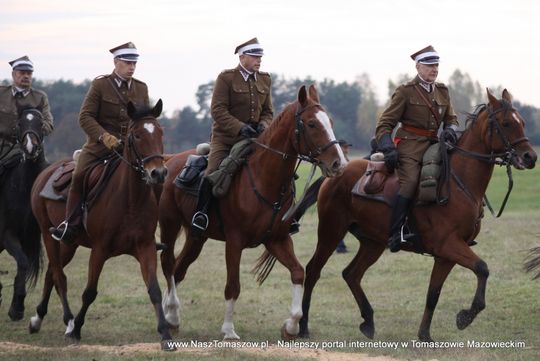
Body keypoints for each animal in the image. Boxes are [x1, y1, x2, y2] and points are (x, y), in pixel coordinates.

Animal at [28, 100, 174, 348]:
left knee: (50, 273)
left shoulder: (145, 248)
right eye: (136, 135)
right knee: (59, 276)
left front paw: (165, 333)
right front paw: (76, 329)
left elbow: (153, 289)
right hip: (49, 236)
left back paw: (37, 319)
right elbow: (90, 292)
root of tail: (45, 172)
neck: (130, 200)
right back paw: (68, 321)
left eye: (161, 133)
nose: (158, 173)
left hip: (69, 244)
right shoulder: (100, 250)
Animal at [158, 86, 348, 338]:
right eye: (311, 124)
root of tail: (170, 160)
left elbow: (298, 272)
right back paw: (170, 311)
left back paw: (171, 316)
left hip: (196, 236)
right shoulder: (234, 242)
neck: (264, 179)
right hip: (169, 225)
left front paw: (291, 325)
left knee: (179, 269)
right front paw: (229, 330)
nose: (339, 163)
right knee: (168, 264)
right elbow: (233, 285)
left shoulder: (277, 239)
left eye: (331, 122)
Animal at [298, 88, 536, 342]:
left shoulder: (446, 255)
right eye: (506, 123)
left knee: (351, 274)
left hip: (373, 242)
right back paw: (302, 325)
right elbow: (482, 268)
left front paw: (424, 335)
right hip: (331, 232)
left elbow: (433, 293)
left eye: (522, 122)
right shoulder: (449, 245)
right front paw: (465, 316)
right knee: (313, 271)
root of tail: (336, 173)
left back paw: (368, 321)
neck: (457, 183)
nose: (530, 157)